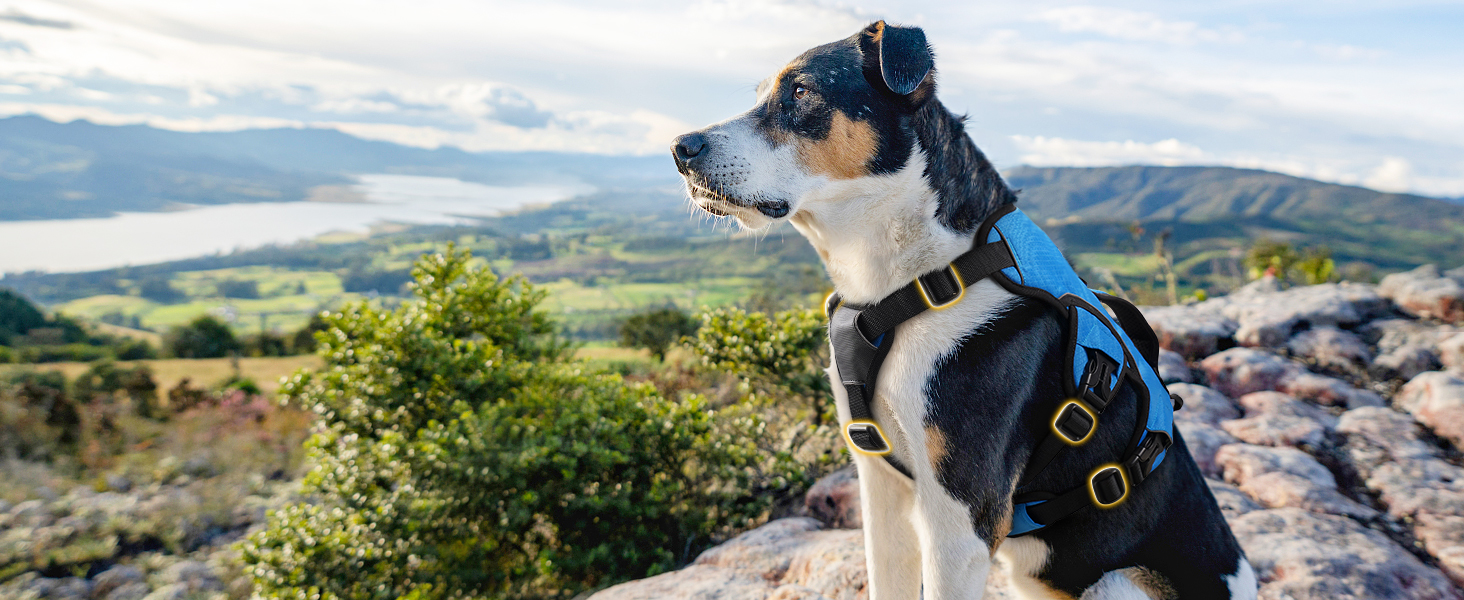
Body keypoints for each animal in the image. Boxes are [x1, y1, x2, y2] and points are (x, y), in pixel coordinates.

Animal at [670, 19, 1253, 600]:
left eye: (800, 90)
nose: (680, 147)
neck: (913, 282)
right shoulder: (879, 485)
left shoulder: (960, 520)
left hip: (1117, 583)